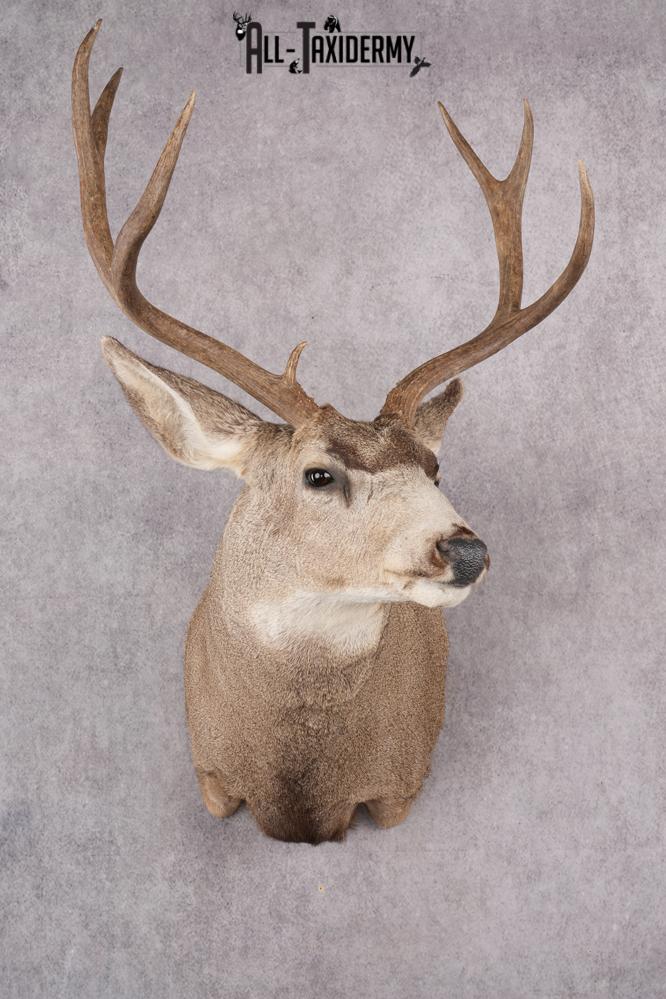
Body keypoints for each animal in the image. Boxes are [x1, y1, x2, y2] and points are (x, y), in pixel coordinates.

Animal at [72, 22, 594, 844]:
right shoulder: (210, 776)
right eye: (318, 473)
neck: (302, 793)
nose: (465, 548)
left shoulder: (400, 783)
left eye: (435, 467)